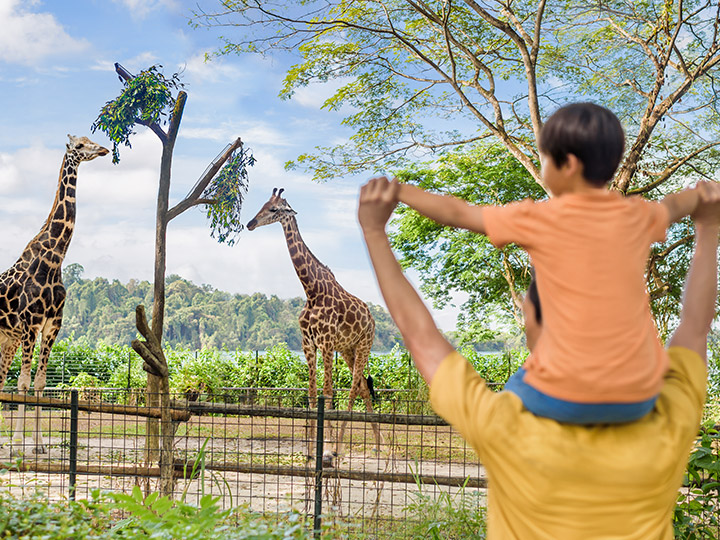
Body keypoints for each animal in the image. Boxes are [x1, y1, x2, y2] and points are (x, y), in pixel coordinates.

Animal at [0, 135, 109, 456]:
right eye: (80, 145)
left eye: (91, 140)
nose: (103, 149)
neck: (55, 259)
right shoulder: (31, 323)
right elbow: (23, 383)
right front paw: (17, 445)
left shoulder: (51, 326)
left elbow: (39, 382)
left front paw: (38, 445)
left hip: (7, 339)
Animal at [246, 188, 382, 462]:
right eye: (263, 204)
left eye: (274, 209)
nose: (250, 223)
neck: (311, 290)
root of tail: (372, 319)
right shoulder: (308, 344)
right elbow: (310, 394)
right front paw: (310, 451)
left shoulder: (326, 343)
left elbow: (328, 393)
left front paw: (327, 449)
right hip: (349, 350)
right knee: (363, 386)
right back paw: (378, 445)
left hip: (364, 345)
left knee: (353, 390)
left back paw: (340, 447)